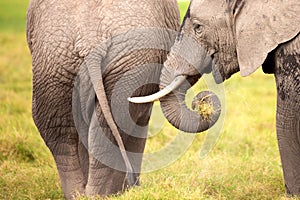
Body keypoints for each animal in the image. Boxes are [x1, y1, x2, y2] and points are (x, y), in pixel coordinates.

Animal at [25, 0, 179, 198]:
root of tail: (89, 38)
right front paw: (131, 190)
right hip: (126, 62)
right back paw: (100, 194)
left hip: (55, 63)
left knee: (57, 129)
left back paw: (81, 195)